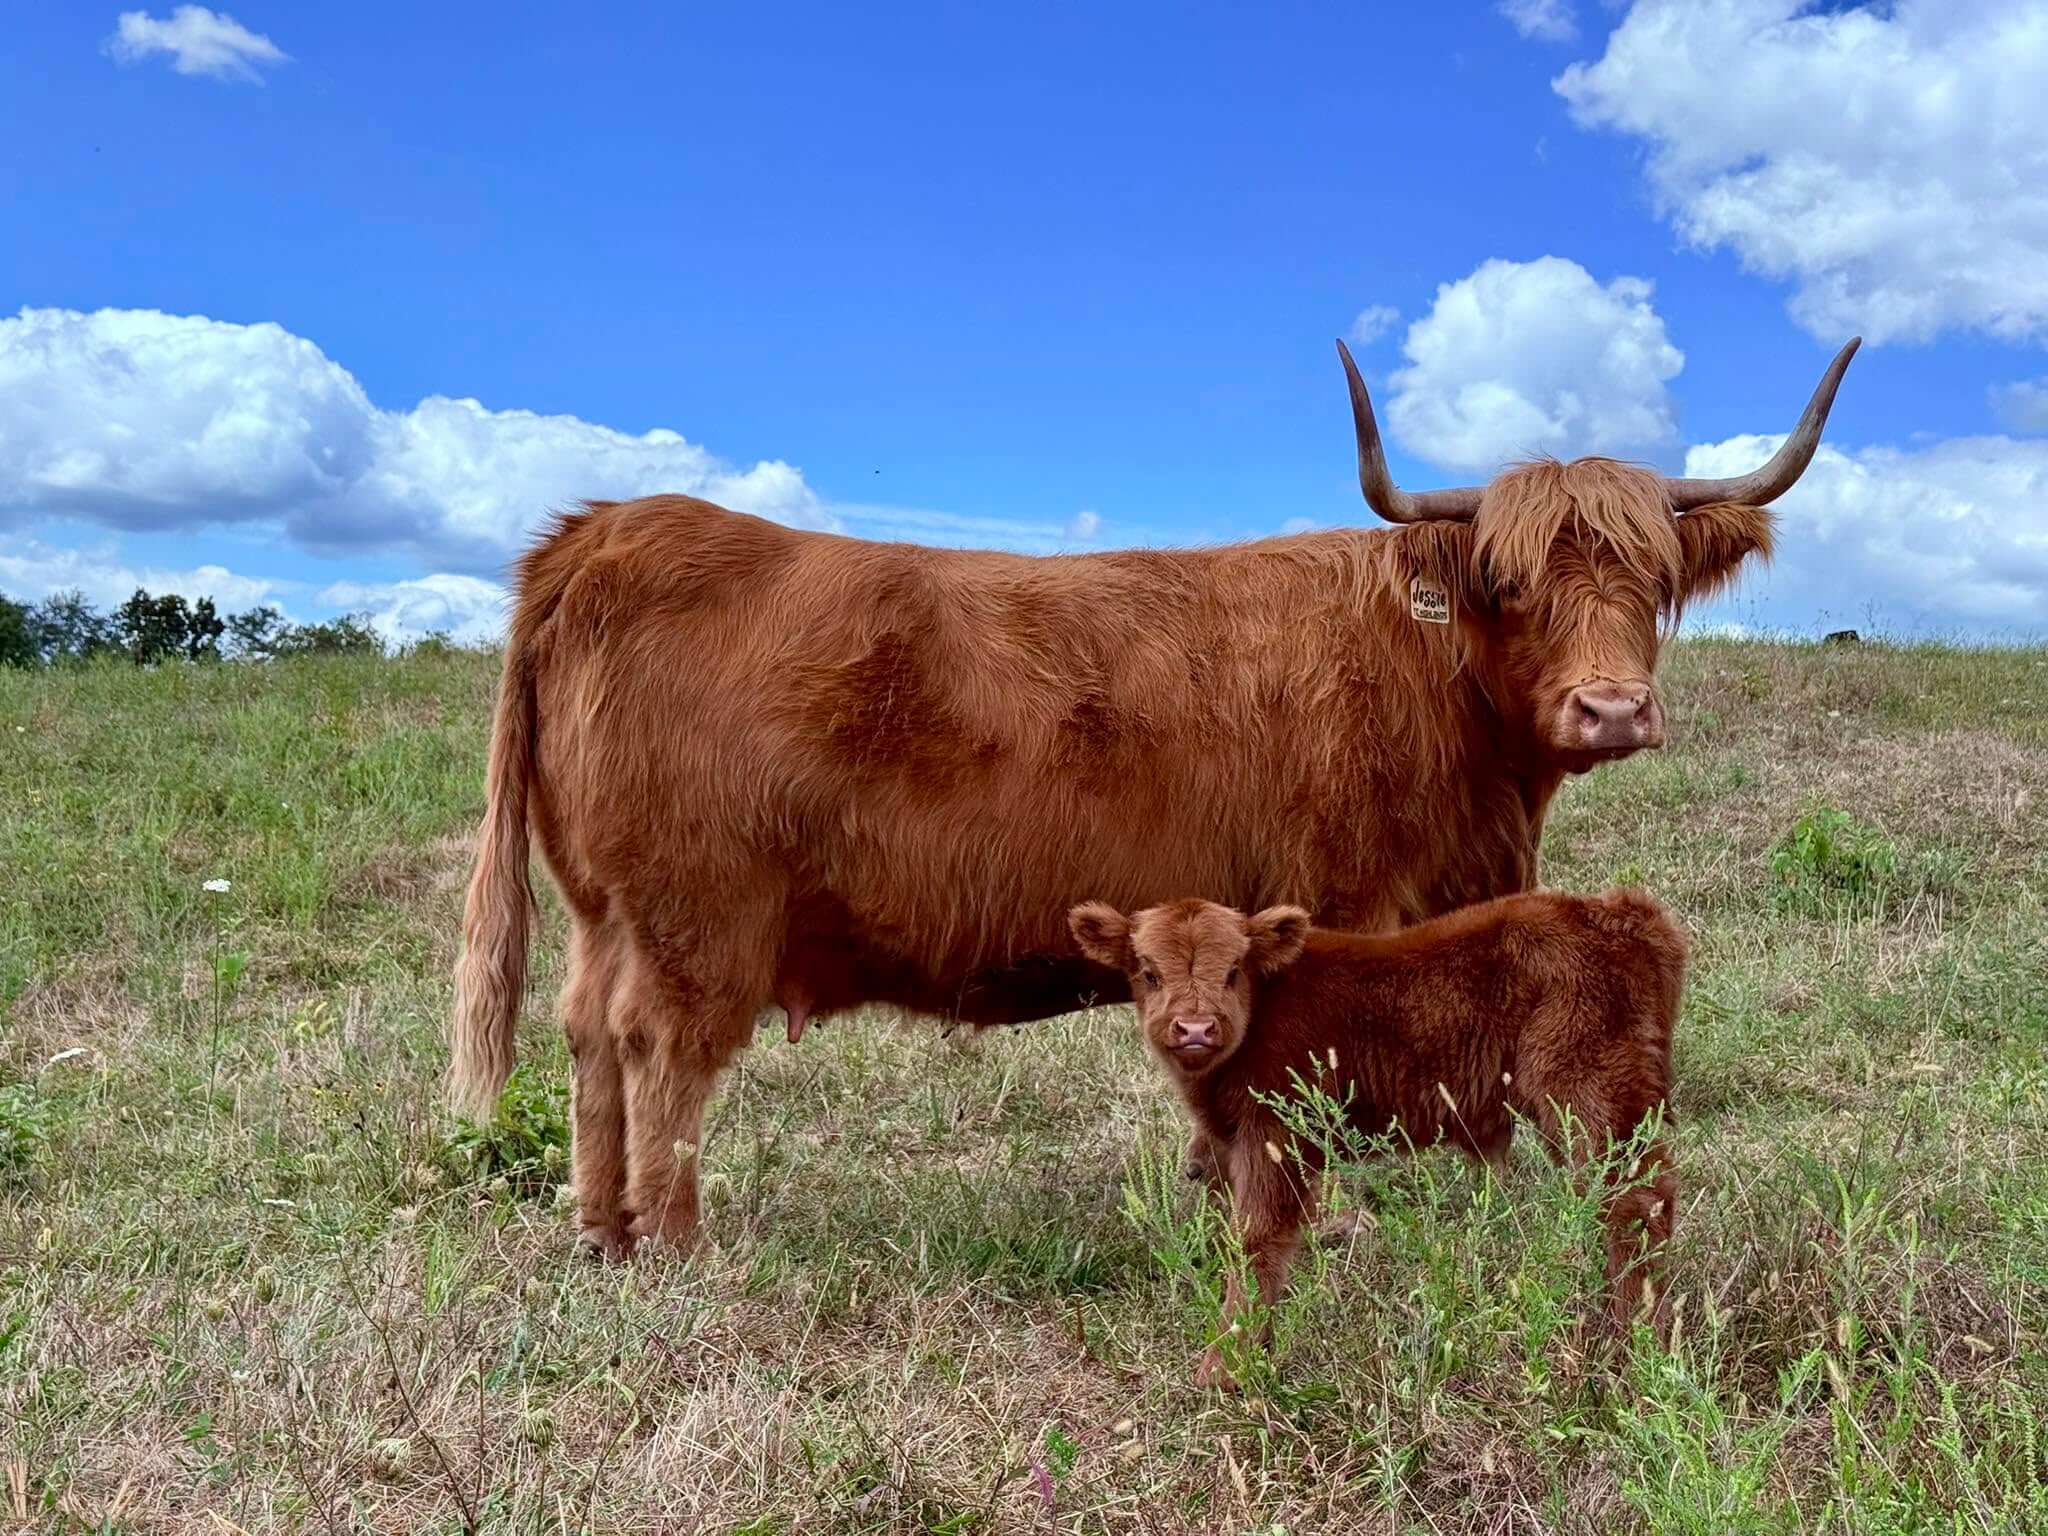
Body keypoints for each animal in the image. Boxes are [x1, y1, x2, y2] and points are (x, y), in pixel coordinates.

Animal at [448, 338, 1855, 1260]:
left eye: (1653, 577)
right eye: (1507, 583)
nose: (1609, 710)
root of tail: (605, 528)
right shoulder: (1359, 901)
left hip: (608, 907)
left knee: (584, 1035)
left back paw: (600, 1233)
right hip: (700, 914)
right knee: (659, 1049)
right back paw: (678, 1248)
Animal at [1067, 889, 1685, 1387]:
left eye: (1235, 969)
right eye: (1148, 970)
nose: (1195, 1029)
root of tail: (1618, 911)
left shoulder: (1278, 1137)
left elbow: (1257, 1239)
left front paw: (1226, 1367)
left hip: (1591, 1093)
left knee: (1636, 1201)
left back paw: (1634, 1340)